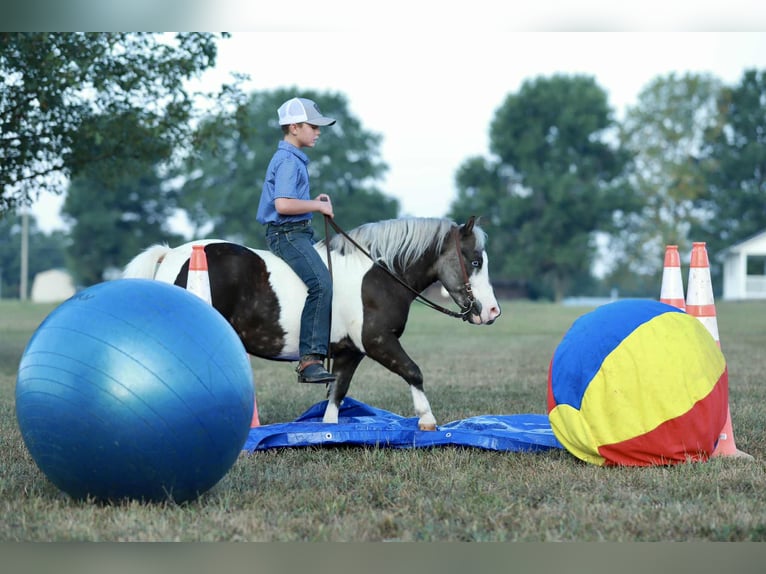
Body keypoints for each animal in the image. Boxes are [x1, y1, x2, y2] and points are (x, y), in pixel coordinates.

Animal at [123, 216, 501, 430]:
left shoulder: (350, 353)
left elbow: (337, 394)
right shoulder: (378, 342)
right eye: (475, 260)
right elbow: (414, 371)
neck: (378, 276)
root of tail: (171, 254)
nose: (492, 312)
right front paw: (427, 419)